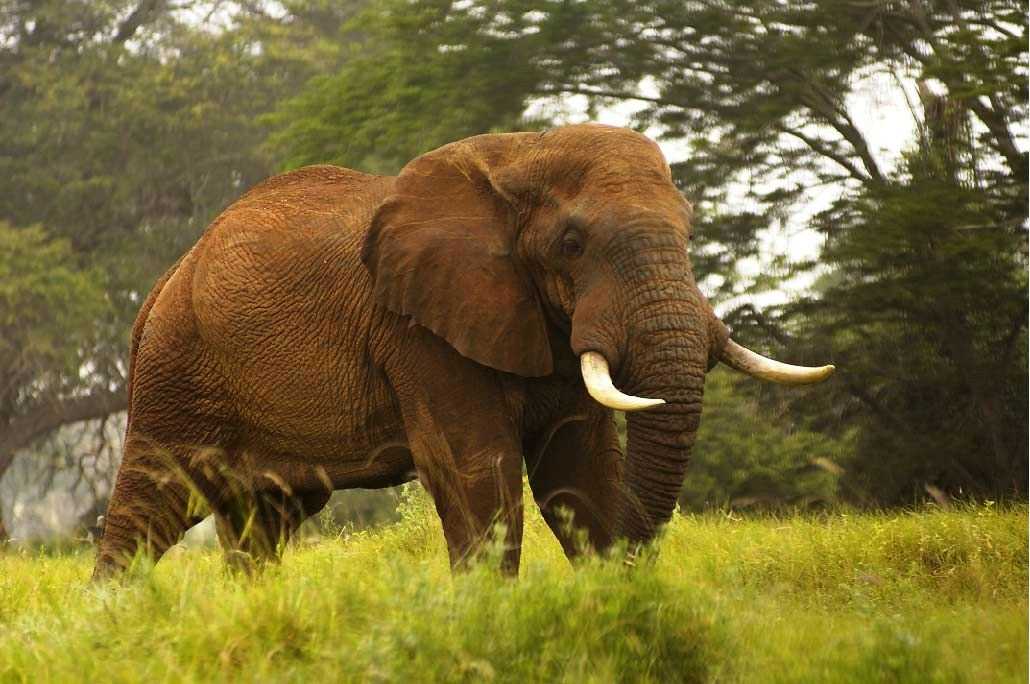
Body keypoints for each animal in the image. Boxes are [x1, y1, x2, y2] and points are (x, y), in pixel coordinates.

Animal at [92, 121, 832, 576]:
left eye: (689, 231)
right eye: (572, 244)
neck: (525, 154)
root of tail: (165, 282)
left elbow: (577, 468)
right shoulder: (419, 332)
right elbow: (479, 471)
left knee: (261, 523)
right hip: (176, 369)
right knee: (146, 510)